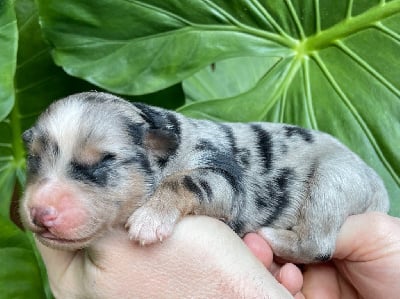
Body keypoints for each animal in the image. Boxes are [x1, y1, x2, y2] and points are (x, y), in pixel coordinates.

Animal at [19, 91, 390, 262]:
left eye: (101, 163)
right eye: (33, 160)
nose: (39, 212)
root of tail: (381, 189)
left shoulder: (224, 173)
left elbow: (186, 180)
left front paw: (150, 219)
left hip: (334, 182)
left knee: (318, 244)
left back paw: (269, 236)